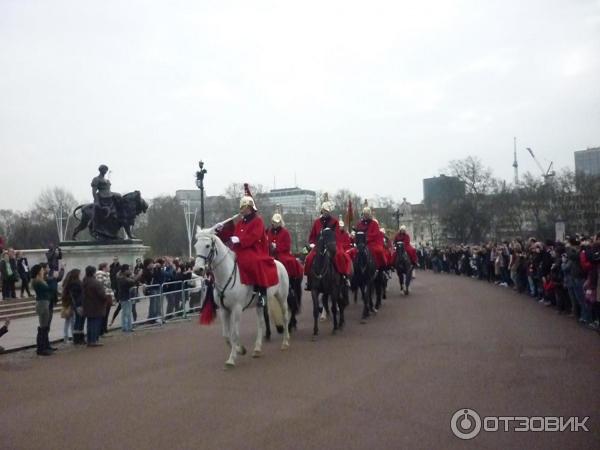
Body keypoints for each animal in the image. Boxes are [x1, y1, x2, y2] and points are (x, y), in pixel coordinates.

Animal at [193, 227, 290, 368]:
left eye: (207, 245)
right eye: (195, 246)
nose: (197, 270)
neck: (226, 275)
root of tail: (278, 262)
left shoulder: (237, 309)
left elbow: (234, 334)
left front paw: (231, 359)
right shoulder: (224, 310)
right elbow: (226, 335)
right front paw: (240, 349)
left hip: (282, 297)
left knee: (285, 317)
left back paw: (285, 342)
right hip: (260, 304)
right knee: (261, 323)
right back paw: (257, 349)